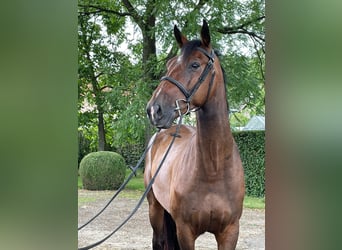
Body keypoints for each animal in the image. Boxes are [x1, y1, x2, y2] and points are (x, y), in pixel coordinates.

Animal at [143, 20, 244, 250]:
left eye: (195, 65)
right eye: (169, 65)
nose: (154, 109)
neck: (214, 169)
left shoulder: (230, 232)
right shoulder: (185, 231)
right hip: (155, 208)